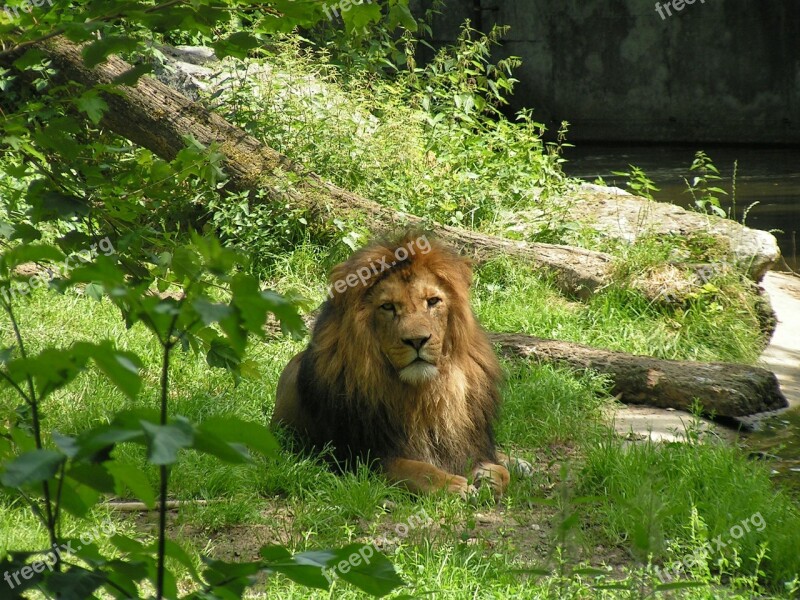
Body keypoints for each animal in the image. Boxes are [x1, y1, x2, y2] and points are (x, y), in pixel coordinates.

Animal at [272, 232, 520, 494]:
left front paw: (490, 477)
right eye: (388, 306)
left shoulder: (470, 443)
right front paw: (451, 484)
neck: (424, 394)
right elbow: (414, 468)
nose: (417, 340)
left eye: (433, 301)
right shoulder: (359, 457)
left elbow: (501, 471)